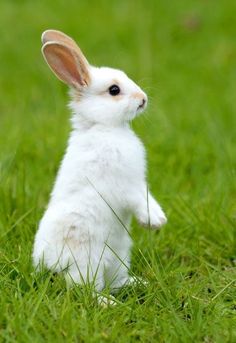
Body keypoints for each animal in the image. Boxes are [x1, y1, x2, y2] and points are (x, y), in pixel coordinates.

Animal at [32, 29, 167, 298]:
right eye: (114, 90)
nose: (143, 99)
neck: (104, 127)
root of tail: (48, 263)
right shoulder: (123, 185)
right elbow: (138, 200)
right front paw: (154, 222)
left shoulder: (138, 182)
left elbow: (147, 195)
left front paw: (159, 218)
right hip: (88, 260)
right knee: (84, 289)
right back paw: (108, 302)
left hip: (119, 256)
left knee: (114, 281)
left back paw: (138, 284)